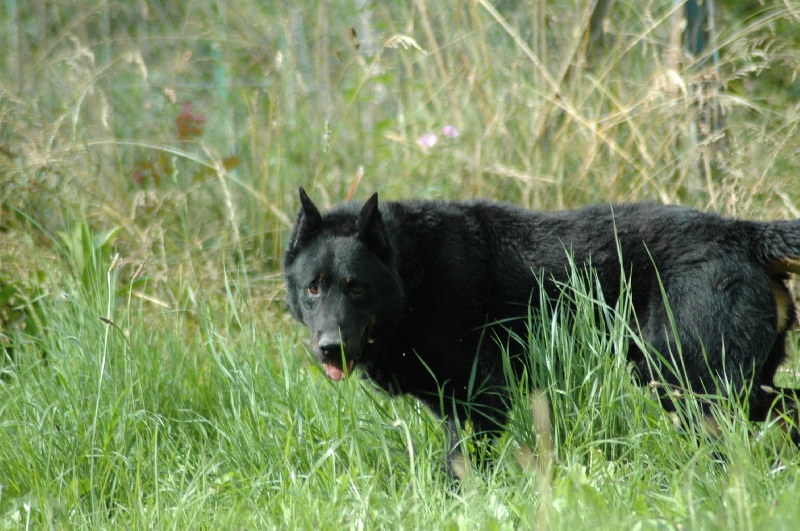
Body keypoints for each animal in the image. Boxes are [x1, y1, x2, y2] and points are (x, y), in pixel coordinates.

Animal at [284, 188, 800, 470]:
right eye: (313, 289)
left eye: (356, 287)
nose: (329, 348)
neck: (413, 275)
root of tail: (743, 233)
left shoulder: (483, 397)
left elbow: (459, 467)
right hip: (721, 387)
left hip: (691, 386)